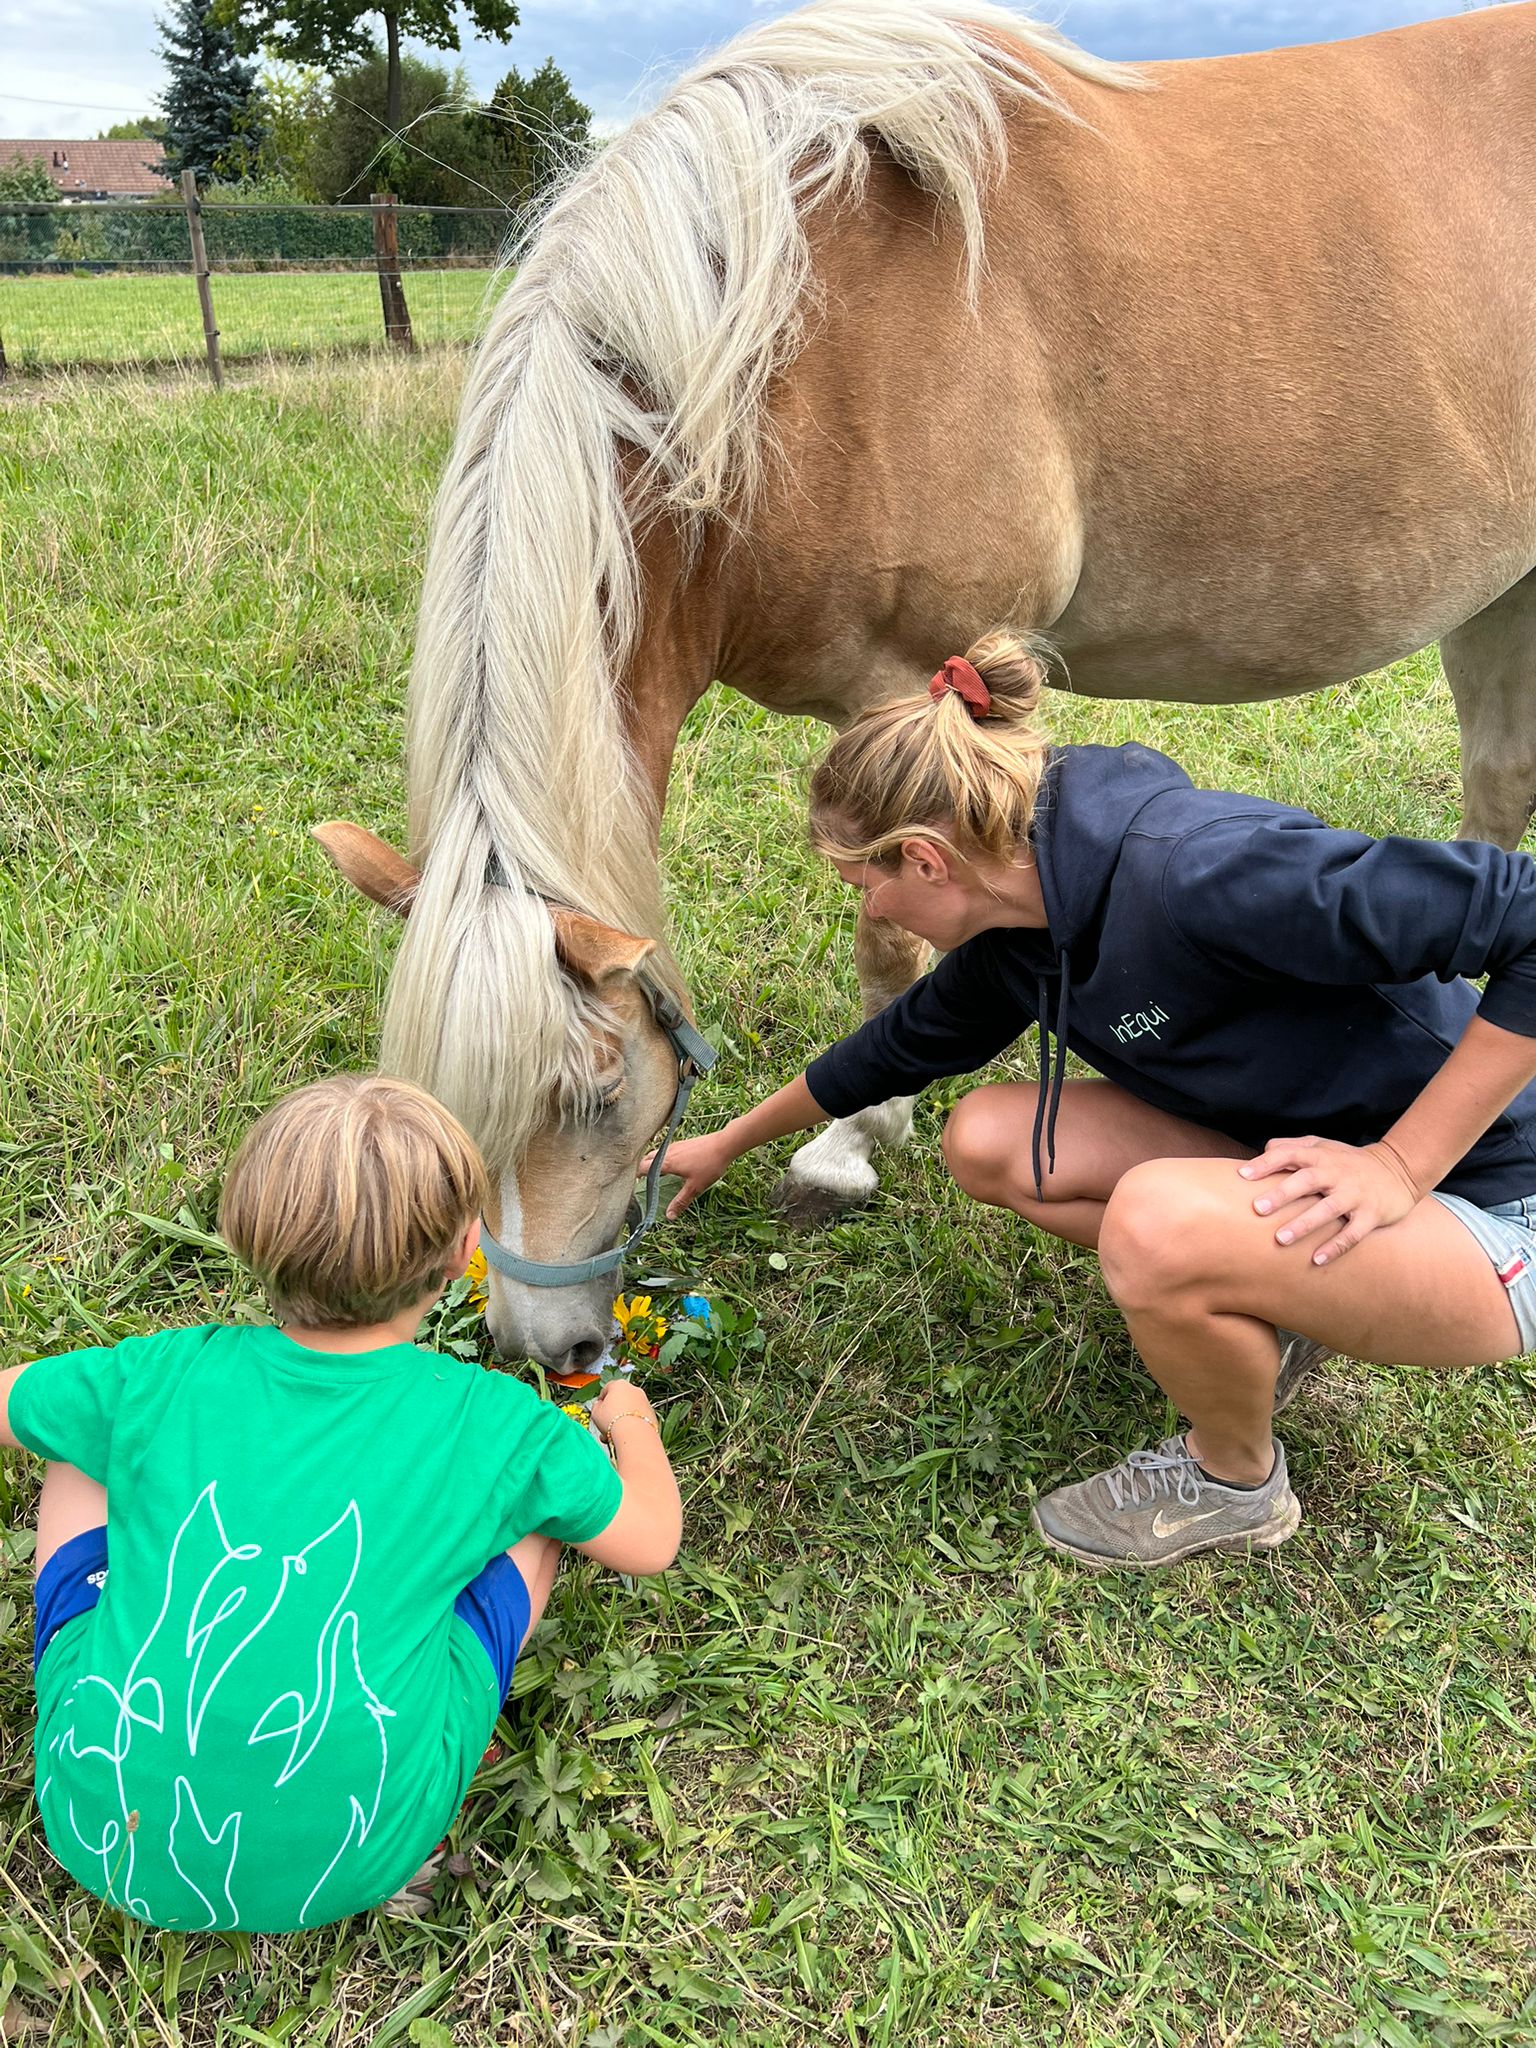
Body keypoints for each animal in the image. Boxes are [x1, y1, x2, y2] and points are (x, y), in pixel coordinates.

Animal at [318, 0, 1536, 1371]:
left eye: (597, 1088)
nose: (547, 1347)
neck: (790, 344)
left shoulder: (910, 682)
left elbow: (889, 940)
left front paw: (850, 1148)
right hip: (1502, 592)